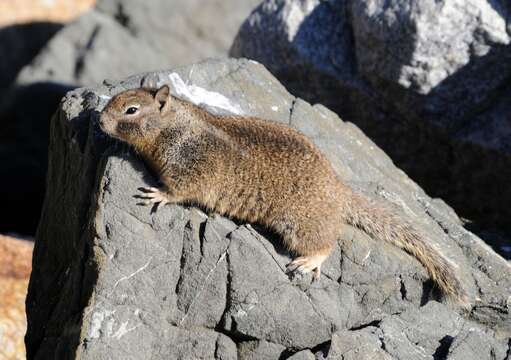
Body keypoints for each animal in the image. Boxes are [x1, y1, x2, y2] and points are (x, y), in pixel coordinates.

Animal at [98, 83, 470, 306]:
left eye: (131, 110)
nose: (100, 122)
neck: (173, 126)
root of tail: (338, 188)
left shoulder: (192, 167)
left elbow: (181, 189)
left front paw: (158, 194)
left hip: (300, 223)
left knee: (326, 242)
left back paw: (309, 261)